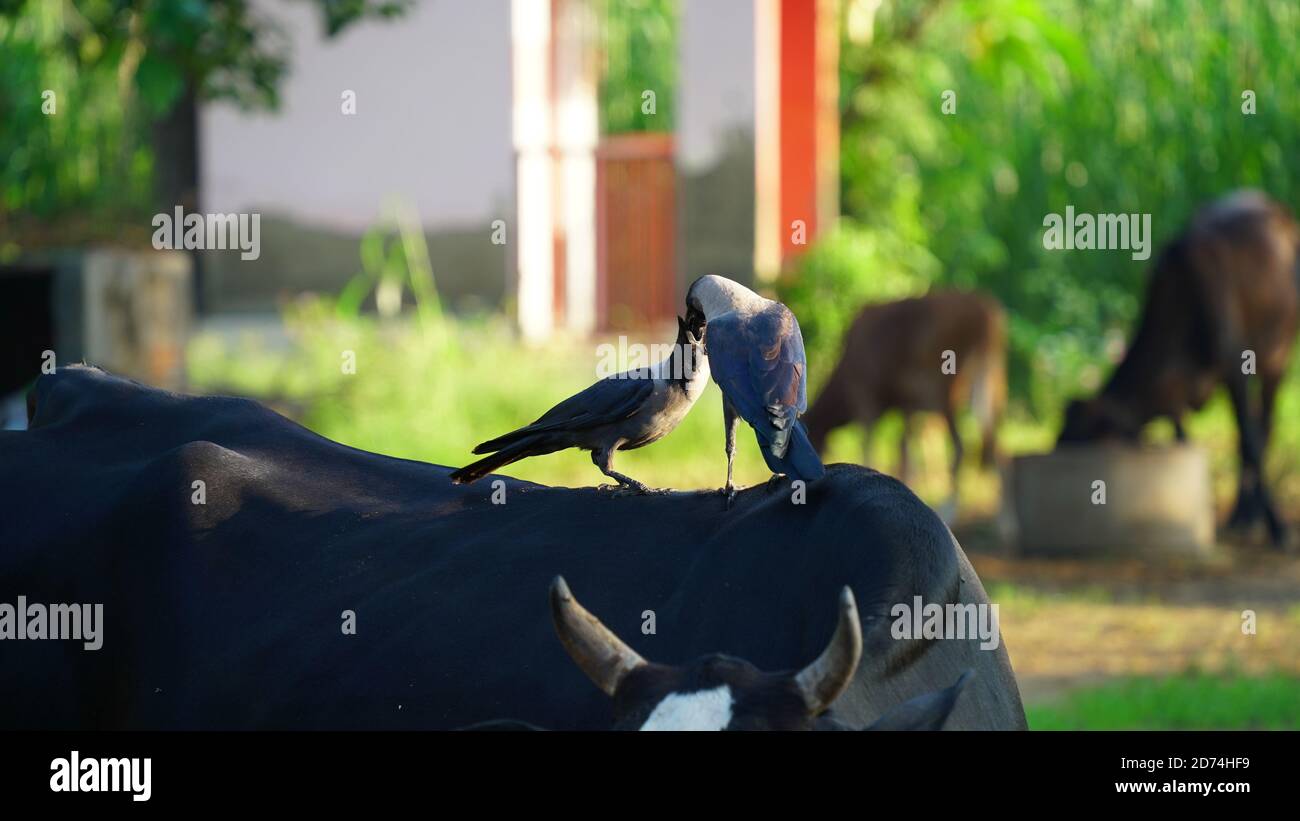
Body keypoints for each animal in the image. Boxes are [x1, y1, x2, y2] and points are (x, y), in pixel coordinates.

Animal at [800, 292, 1003, 517]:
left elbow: (869, 444)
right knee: (994, 440)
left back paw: (948, 510)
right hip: (990, 380)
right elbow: (904, 451)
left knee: (961, 445)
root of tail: (986, 311)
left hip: (944, 389)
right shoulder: (906, 405)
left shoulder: (865, 396)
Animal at [1060, 192, 1294, 548]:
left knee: (1262, 428)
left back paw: (1253, 516)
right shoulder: (1172, 399)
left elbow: (1250, 443)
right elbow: (1184, 439)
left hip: (1277, 353)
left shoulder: (1235, 364)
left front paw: (1278, 527)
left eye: (1090, 440)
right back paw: (1242, 516)